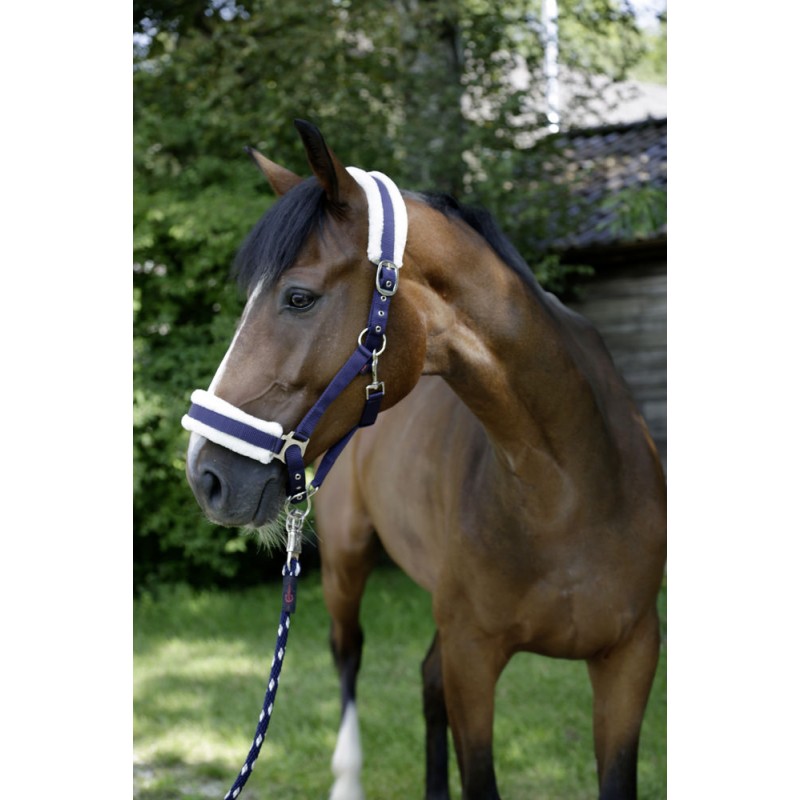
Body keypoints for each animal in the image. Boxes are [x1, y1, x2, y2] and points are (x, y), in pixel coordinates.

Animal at [183, 119, 667, 800]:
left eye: (298, 298)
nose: (206, 475)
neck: (569, 487)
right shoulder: (473, 658)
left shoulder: (630, 659)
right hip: (346, 563)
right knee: (348, 652)